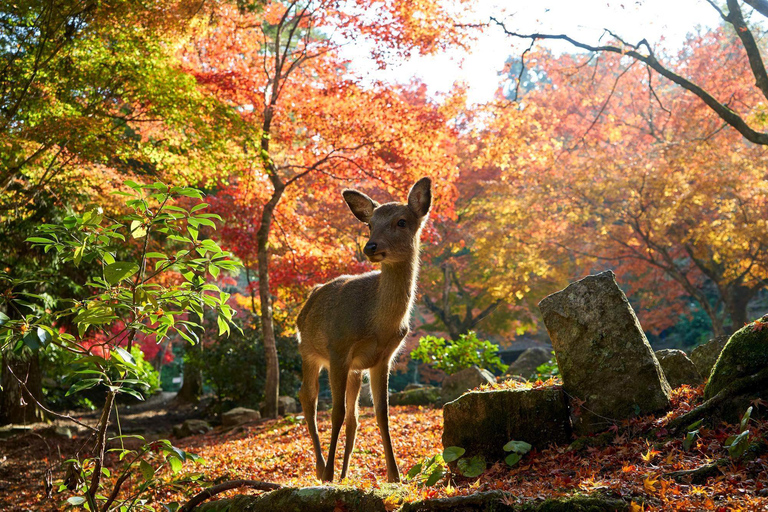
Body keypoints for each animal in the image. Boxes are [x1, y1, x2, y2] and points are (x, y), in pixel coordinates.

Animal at [296, 178, 432, 482]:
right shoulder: (338, 348)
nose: (370, 247)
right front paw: (329, 473)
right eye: (370, 224)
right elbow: (335, 412)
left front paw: (395, 475)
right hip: (308, 351)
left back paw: (345, 473)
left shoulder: (383, 358)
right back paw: (322, 468)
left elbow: (381, 413)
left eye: (401, 221)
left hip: (354, 370)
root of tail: (310, 297)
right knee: (308, 398)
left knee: (353, 418)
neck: (378, 325)